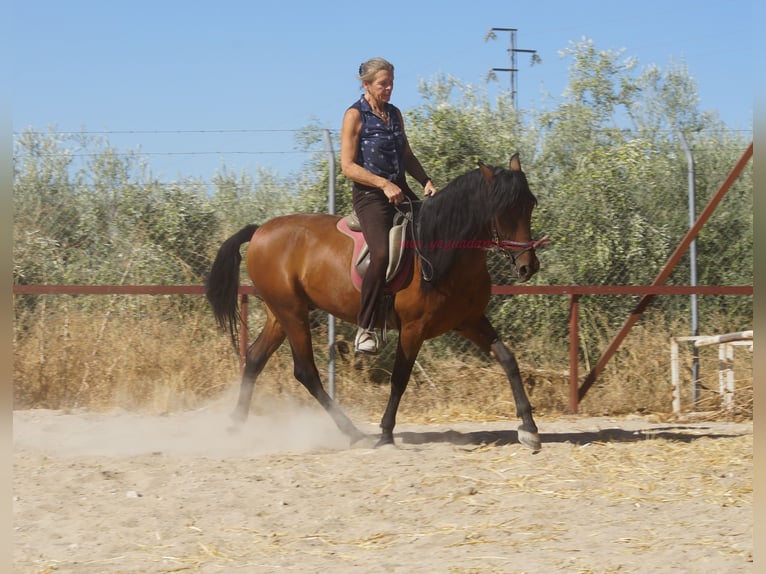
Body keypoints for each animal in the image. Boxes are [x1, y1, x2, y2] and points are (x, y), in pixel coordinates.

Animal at [205, 153, 543, 451]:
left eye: (530, 204)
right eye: (503, 209)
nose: (528, 266)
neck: (441, 251)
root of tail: (260, 231)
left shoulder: (469, 320)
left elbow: (508, 359)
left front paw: (529, 428)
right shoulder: (414, 328)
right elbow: (400, 379)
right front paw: (385, 433)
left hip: (280, 314)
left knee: (255, 358)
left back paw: (236, 426)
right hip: (292, 313)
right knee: (306, 371)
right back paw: (352, 432)